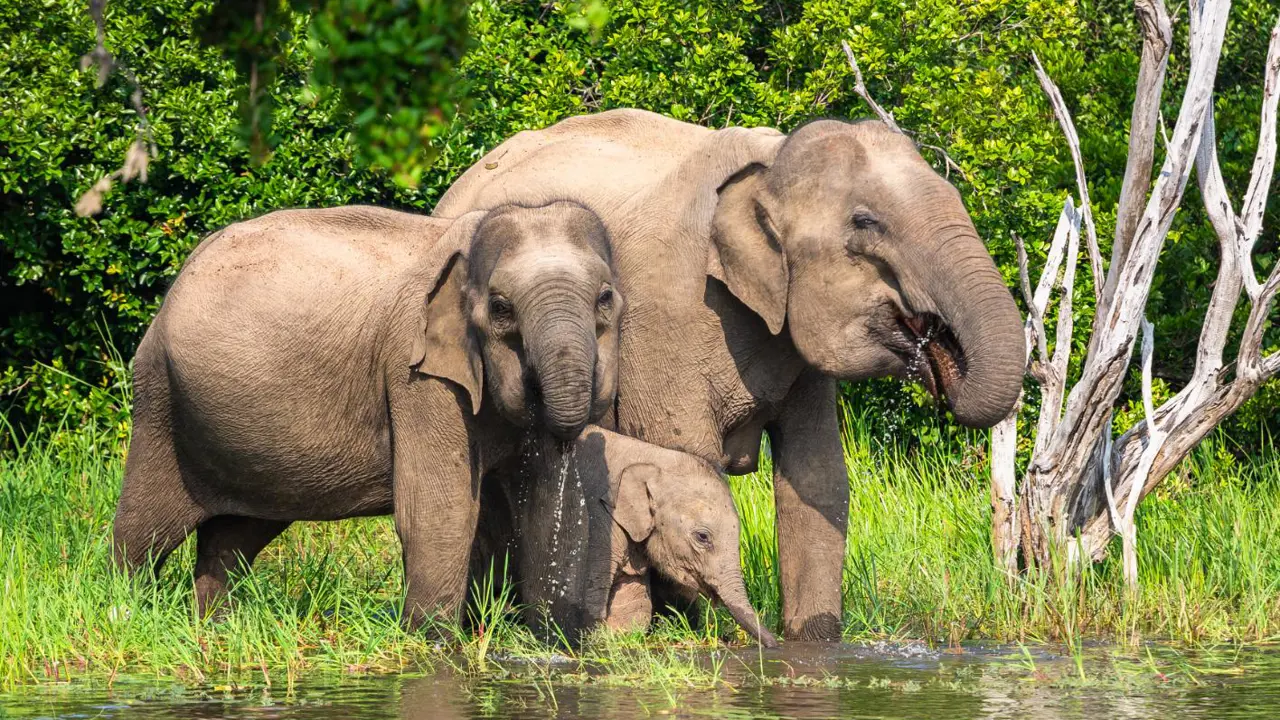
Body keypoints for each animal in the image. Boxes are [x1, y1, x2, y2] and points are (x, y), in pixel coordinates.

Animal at [111, 201, 623, 624]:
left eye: (605, 299)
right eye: (500, 308)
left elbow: (545, 507)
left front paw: (549, 644)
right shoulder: (413, 373)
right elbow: (439, 512)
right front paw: (434, 647)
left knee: (233, 539)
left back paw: (216, 625)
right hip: (160, 400)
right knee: (143, 534)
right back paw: (128, 613)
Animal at [473, 425, 777, 648]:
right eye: (702, 537)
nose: (776, 645)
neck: (652, 457)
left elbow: (635, 605)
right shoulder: (597, 521)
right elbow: (591, 598)